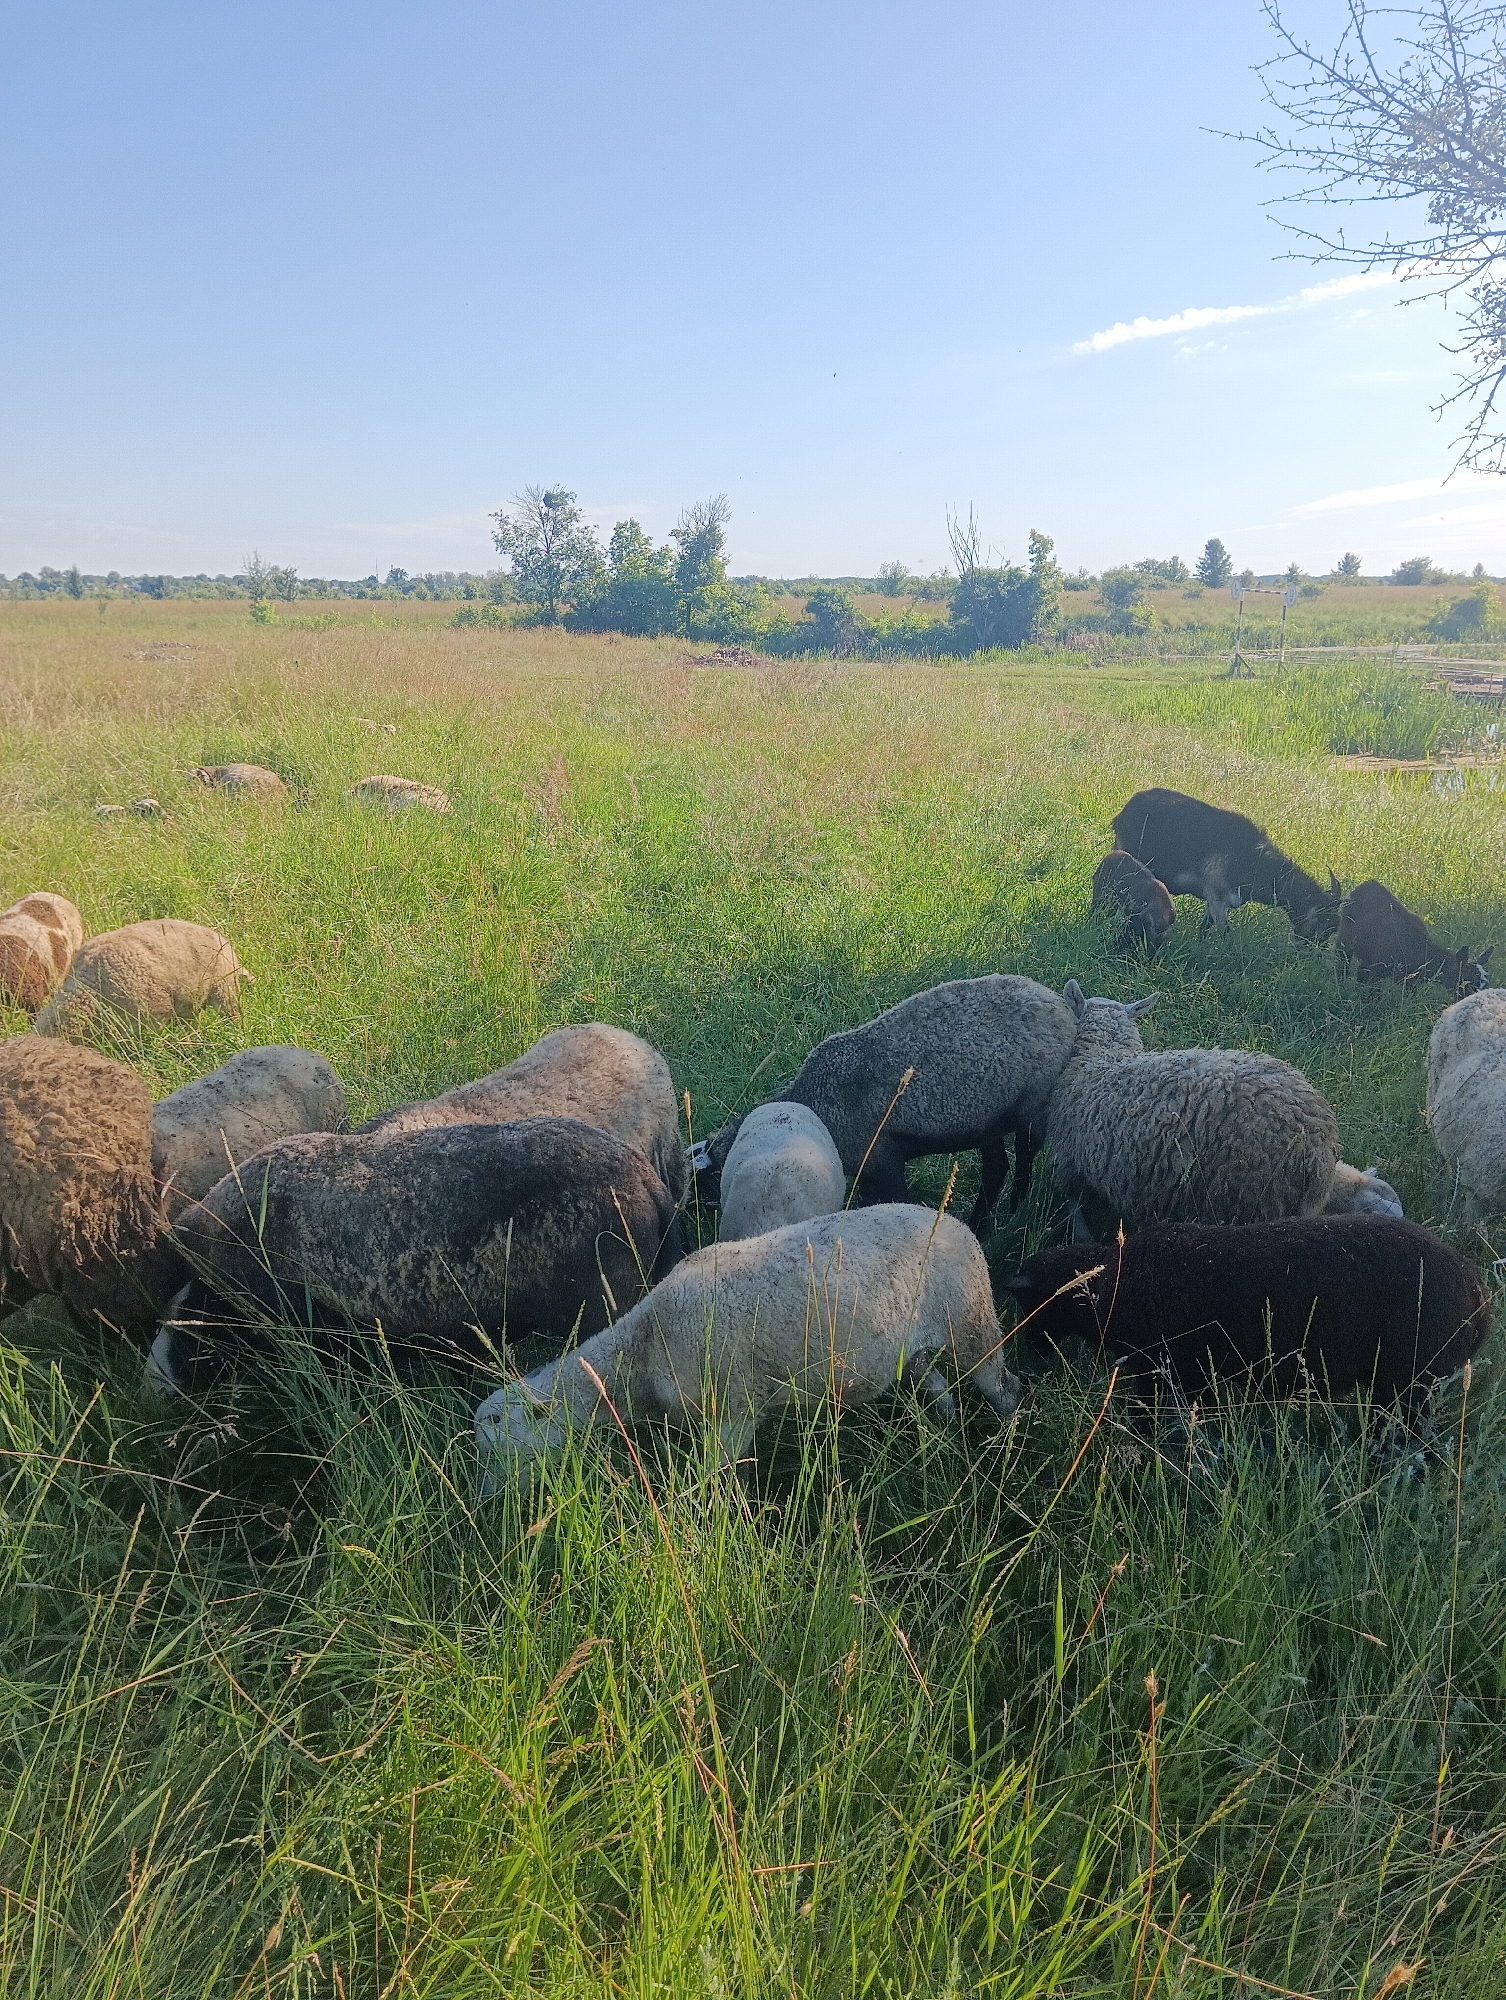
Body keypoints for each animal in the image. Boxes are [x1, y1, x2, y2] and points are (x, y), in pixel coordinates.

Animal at [475, 1203, 1021, 1480]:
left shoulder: (736, 1410)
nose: (486, 1501)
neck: (644, 1347)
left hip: (971, 1320)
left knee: (1002, 1385)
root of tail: (956, 1222)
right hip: (911, 1345)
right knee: (939, 1385)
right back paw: (947, 1429)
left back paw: (1007, 1440)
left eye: (497, 1445)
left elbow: (708, 1480)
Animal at [1006, 1216, 1489, 1407]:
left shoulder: (1164, 1375)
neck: (1114, 1286)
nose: (1030, 1350)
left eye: (1028, 1305)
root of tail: (1479, 1293)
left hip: (1412, 1384)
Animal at [1112, 787, 1342, 938]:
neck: (1252, 859)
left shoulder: (1214, 900)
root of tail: (1123, 812)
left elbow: (1205, 927)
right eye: (1321, 921)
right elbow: (1225, 932)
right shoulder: (1217, 897)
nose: (1306, 948)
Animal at [1336, 878, 1491, 999]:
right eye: (1468, 980)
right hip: (1345, 938)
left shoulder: (1410, 982)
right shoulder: (1373, 968)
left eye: (1486, 983)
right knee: (1342, 963)